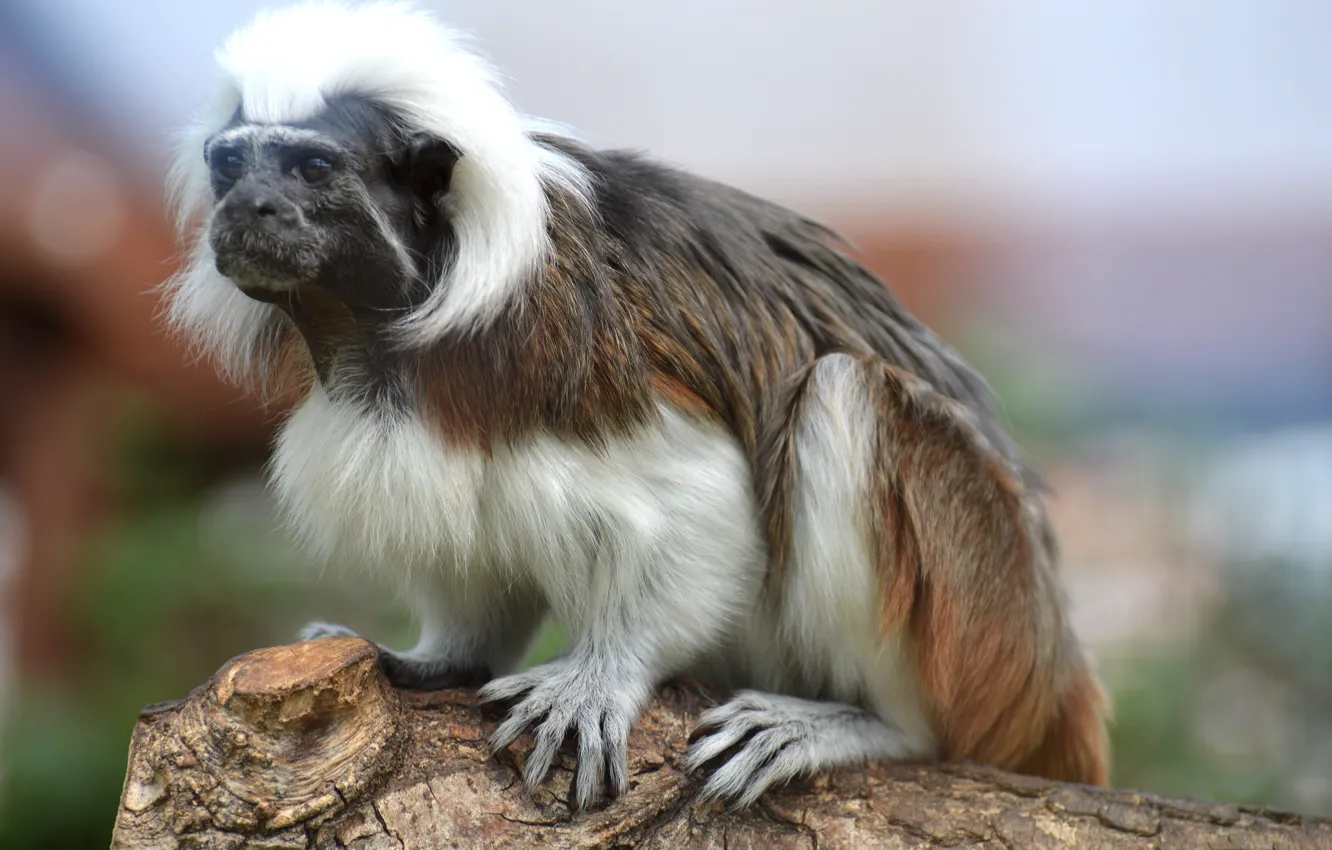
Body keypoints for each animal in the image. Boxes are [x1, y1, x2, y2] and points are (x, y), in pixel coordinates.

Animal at [166, 1, 1109, 811]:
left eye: (315, 168)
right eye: (230, 166)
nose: (250, 207)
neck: (407, 324)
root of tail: (1055, 670)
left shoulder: (589, 356)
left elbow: (699, 504)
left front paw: (601, 677)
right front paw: (436, 661)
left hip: (987, 620)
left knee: (846, 395)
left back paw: (867, 725)